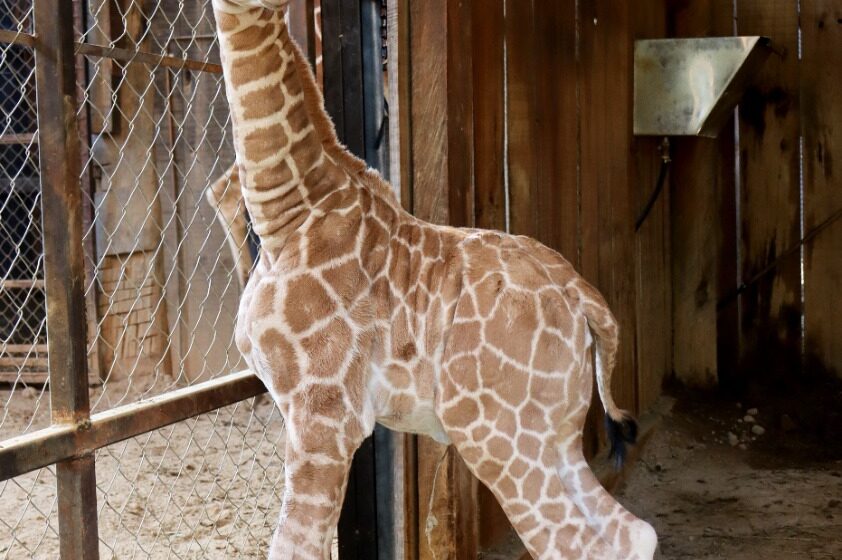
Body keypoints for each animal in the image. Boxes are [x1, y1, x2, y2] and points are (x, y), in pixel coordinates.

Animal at [210, 1, 658, 559]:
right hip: (554, 434)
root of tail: (586, 302)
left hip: (501, 436)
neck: (290, 214)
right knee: (631, 533)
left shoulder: (324, 416)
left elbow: (295, 546)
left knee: (572, 542)